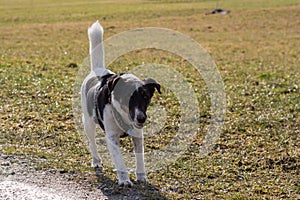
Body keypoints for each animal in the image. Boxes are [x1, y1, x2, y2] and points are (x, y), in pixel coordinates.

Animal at [81, 21, 161, 187]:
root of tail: (98, 70)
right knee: (92, 142)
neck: (124, 116)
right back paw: (96, 160)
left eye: (145, 96)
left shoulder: (138, 134)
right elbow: (119, 160)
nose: (141, 118)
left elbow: (140, 158)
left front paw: (141, 176)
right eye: (127, 97)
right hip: (88, 122)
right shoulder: (112, 137)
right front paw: (124, 179)